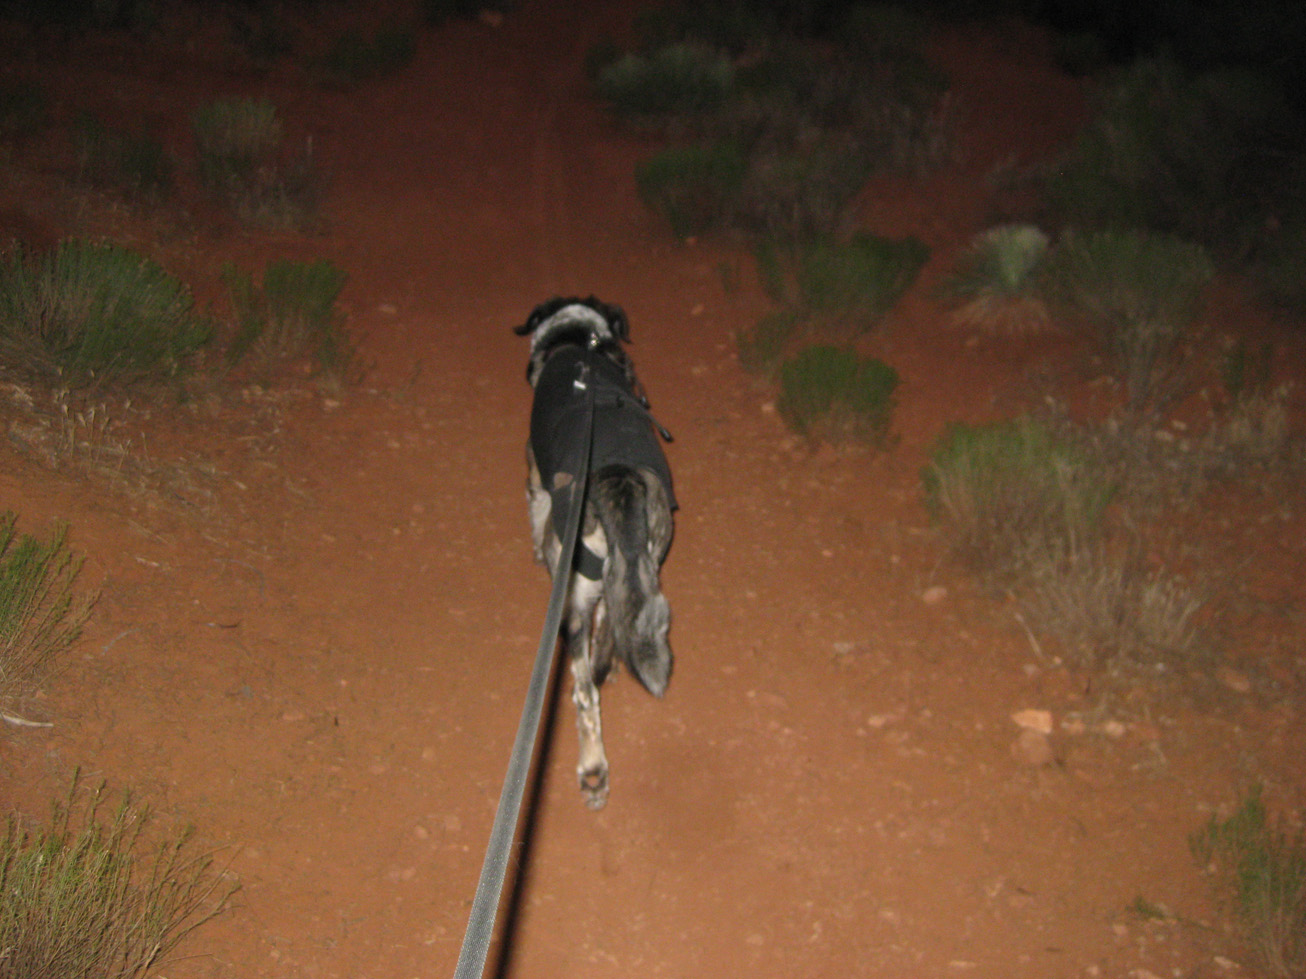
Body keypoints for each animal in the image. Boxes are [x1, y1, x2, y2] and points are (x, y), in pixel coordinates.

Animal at [514, 296, 676, 810]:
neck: (579, 339)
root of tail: (615, 479)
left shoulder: (533, 472)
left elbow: (534, 507)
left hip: (572, 599)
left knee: (585, 694)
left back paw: (592, 769)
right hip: (641, 562)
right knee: (610, 636)